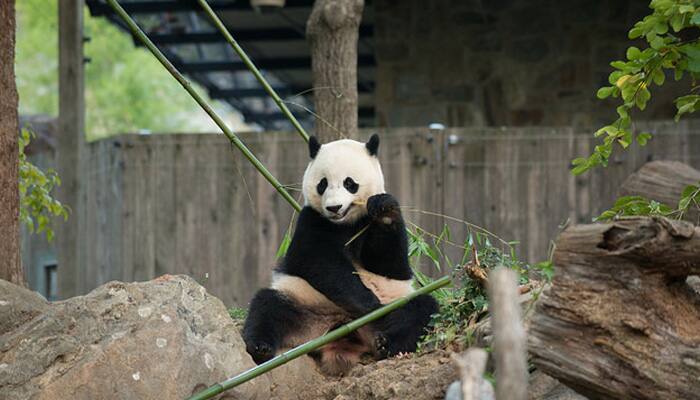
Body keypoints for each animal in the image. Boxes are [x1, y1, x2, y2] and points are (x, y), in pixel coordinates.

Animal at [241, 134, 438, 376]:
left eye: (349, 183)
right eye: (322, 184)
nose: (334, 207)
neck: (345, 223)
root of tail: (342, 335)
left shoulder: (370, 225)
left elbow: (389, 264)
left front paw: (384, 210)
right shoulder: (311, 221)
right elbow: (320, 263)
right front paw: (370, 304)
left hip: (395, 303)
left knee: (420, 310)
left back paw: (386, 343)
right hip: (302, 302)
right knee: (268, 307)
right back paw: (261, 348)